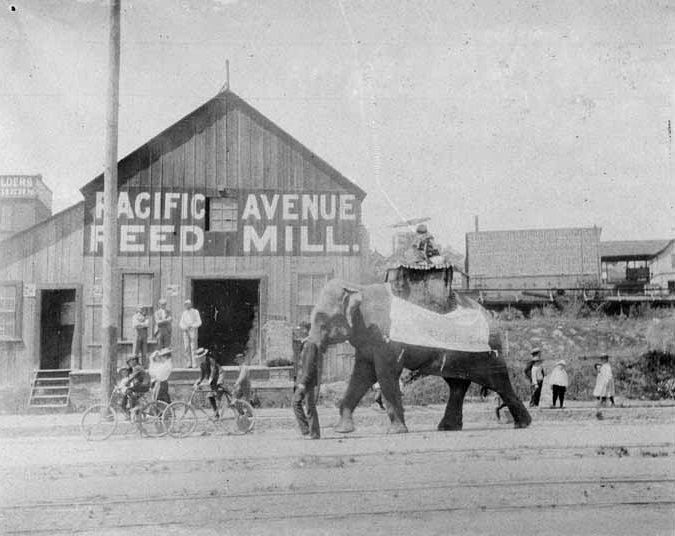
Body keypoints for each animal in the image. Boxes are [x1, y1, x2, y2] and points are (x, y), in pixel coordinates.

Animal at [304, 266, 532, 434]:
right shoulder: (368, 342)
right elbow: (362, 375)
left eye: (322, 320)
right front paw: (342, 431)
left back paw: (523, 424)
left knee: (498, 382)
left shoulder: (386, 341)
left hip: (487, 352)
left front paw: (396, 432)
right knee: (457, 384)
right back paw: (448, 428)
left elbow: (386, 373)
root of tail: (490, 314)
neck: (358, 288)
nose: (312, 431)